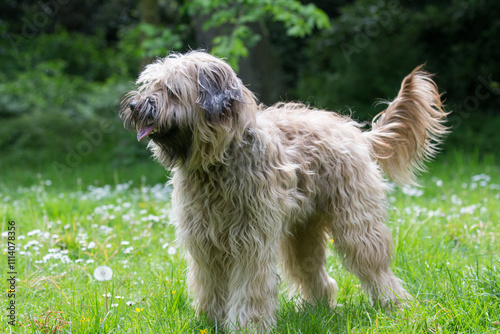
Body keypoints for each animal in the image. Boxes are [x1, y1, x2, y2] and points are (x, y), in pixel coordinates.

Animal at [119, 51, 448, 330]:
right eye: (150, 85)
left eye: (171, 90)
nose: (134, 107)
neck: (218, 161)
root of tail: (356, 131)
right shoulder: (205, 242)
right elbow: (209, 284)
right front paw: (209, 322)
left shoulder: (250, 241)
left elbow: (250, 287)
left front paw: (247, 325)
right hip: (303, 231)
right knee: (312, 270)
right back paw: (317, 308)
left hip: (356, 222)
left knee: (375, 265)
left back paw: (393, 305)